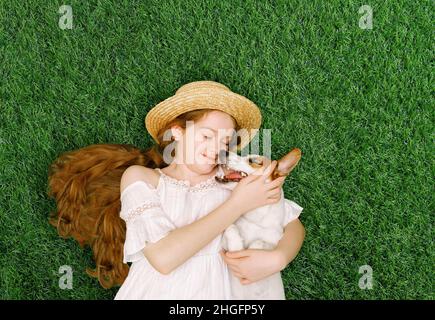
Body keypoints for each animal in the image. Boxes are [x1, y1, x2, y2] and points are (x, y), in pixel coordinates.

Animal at [215, 148, 304, 300]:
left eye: (254, 161)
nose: (222, 151)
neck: (255, 219)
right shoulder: (229, 250)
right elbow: (232, 231)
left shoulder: (273, 241)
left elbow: (261, 243)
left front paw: (255, 248)